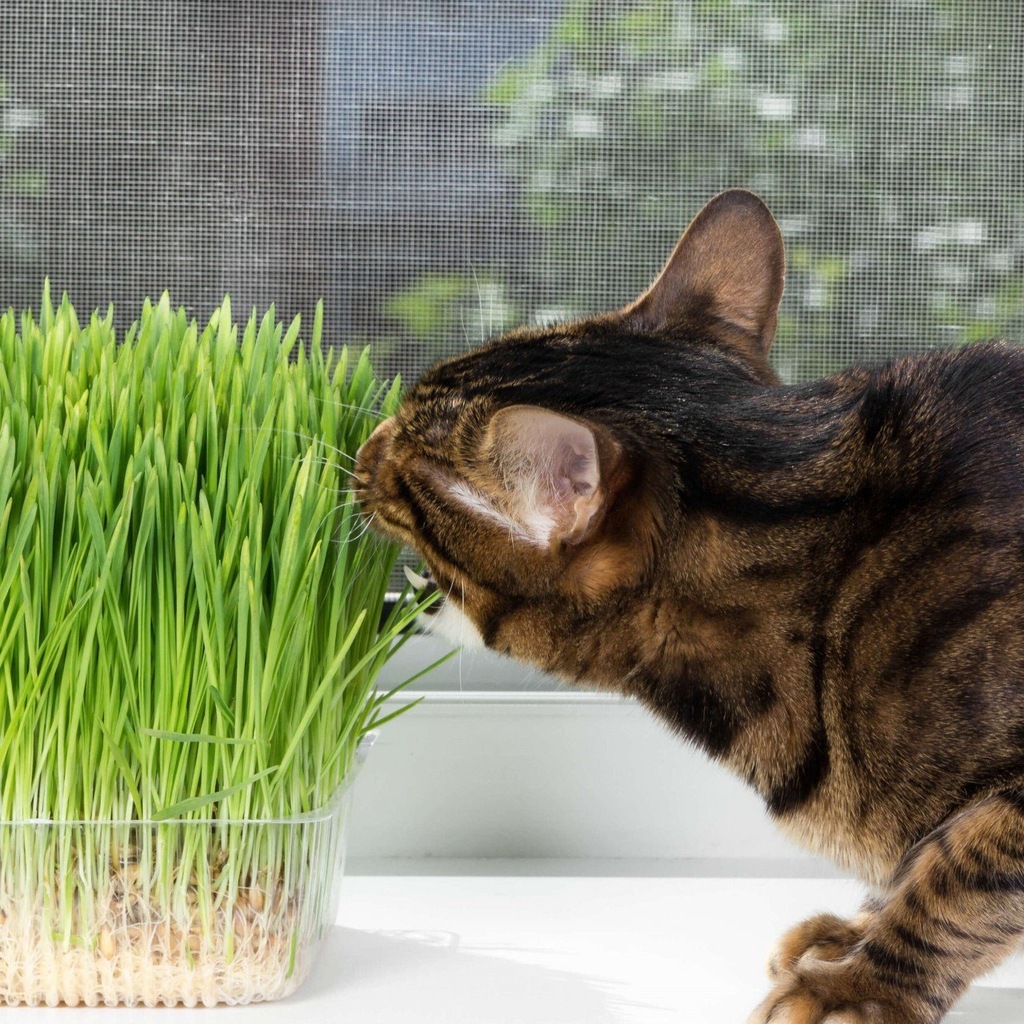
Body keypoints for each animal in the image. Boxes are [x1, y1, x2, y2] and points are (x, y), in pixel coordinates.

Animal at [354, 192, 1024, 1024]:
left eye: (407, 458)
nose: (363, 443)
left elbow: (958, 882)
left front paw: (861, 987)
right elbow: (924, 865)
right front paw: (849, 937)